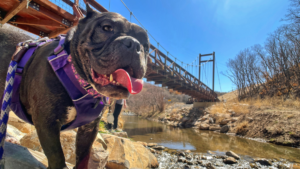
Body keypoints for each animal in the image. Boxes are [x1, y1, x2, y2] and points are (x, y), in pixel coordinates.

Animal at [0, 3, 149, 169]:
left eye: (146, 45)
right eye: (106, 28)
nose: (135, 44)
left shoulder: (89, 130)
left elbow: (84, 157)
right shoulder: (47, 123)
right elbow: (57, 156)